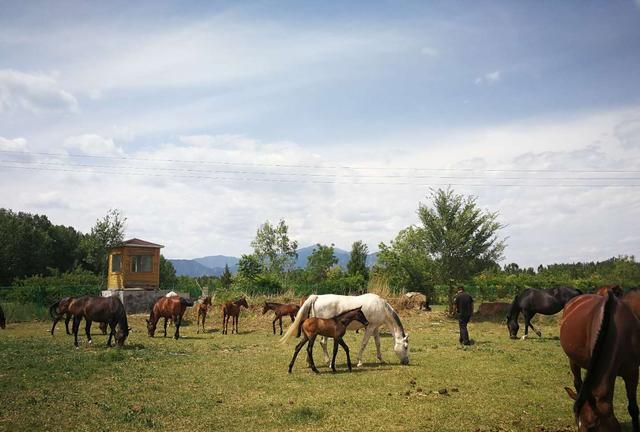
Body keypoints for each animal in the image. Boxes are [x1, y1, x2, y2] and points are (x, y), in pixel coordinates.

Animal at [280, 292, 410, 366]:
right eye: (406, 347)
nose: (406, 361)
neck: (381, 307)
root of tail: (316, 297)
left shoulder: (375, 328)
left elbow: (378, 343)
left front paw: (381, 360)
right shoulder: (370, 327)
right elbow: (364, 343)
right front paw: (359, 362)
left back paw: (309, 362)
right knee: (322, 343)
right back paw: (328, 362)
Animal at [560, 292, 640, 430]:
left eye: (592, 427)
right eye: (578, 425)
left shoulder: (632, 372)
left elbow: (633, 408)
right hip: (573, 360)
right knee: (578, 382)